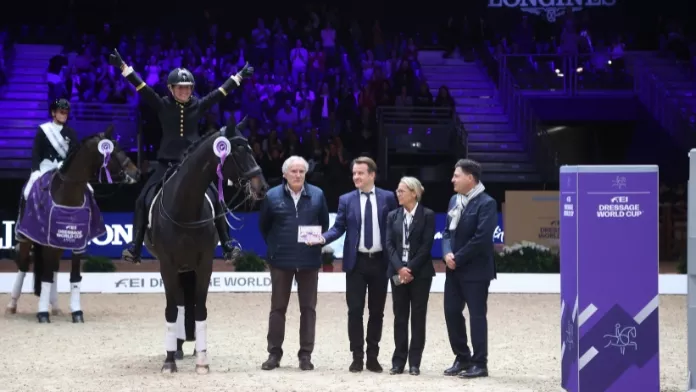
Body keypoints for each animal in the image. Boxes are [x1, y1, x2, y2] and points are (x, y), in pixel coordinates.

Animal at [6, 127, 139, 324]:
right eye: (114, 150)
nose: (136, 173)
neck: (68, 194)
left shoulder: (77, 242)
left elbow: (74, 277)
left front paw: (76, 312)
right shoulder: (48, 241)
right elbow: (45, 277)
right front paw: (42, 314)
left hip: (58, 245)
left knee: (52, 270)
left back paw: (56, 307)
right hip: (26, 239)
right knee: (23, 267)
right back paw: (12, 305)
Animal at [144, 119, 266, 374]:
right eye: (238, 150)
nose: (261, 187)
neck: (185, 208)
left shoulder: (204, 264)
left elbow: (200, 309)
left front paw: (202, 361)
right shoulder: (167, 266)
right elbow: (171, 310)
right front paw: (169, 362)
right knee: (179, 305)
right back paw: (177, 349)